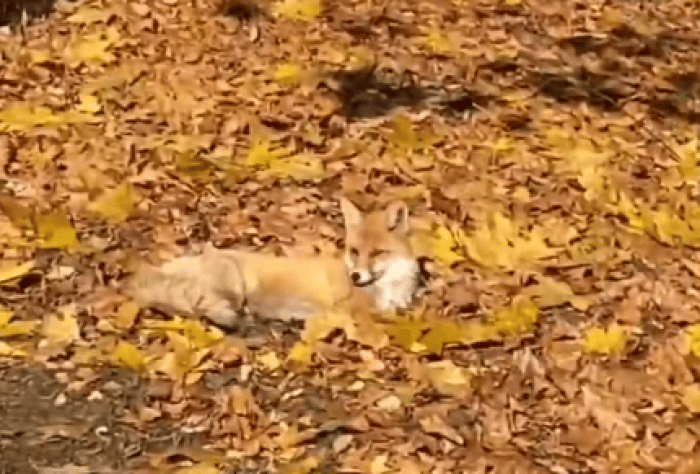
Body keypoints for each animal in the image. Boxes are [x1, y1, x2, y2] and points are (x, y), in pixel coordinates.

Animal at [131, 198, 421, 328]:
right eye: (355, 251)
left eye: (377, 253)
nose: (356, 276)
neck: (391, 288)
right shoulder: (353, 308)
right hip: (234, 286)